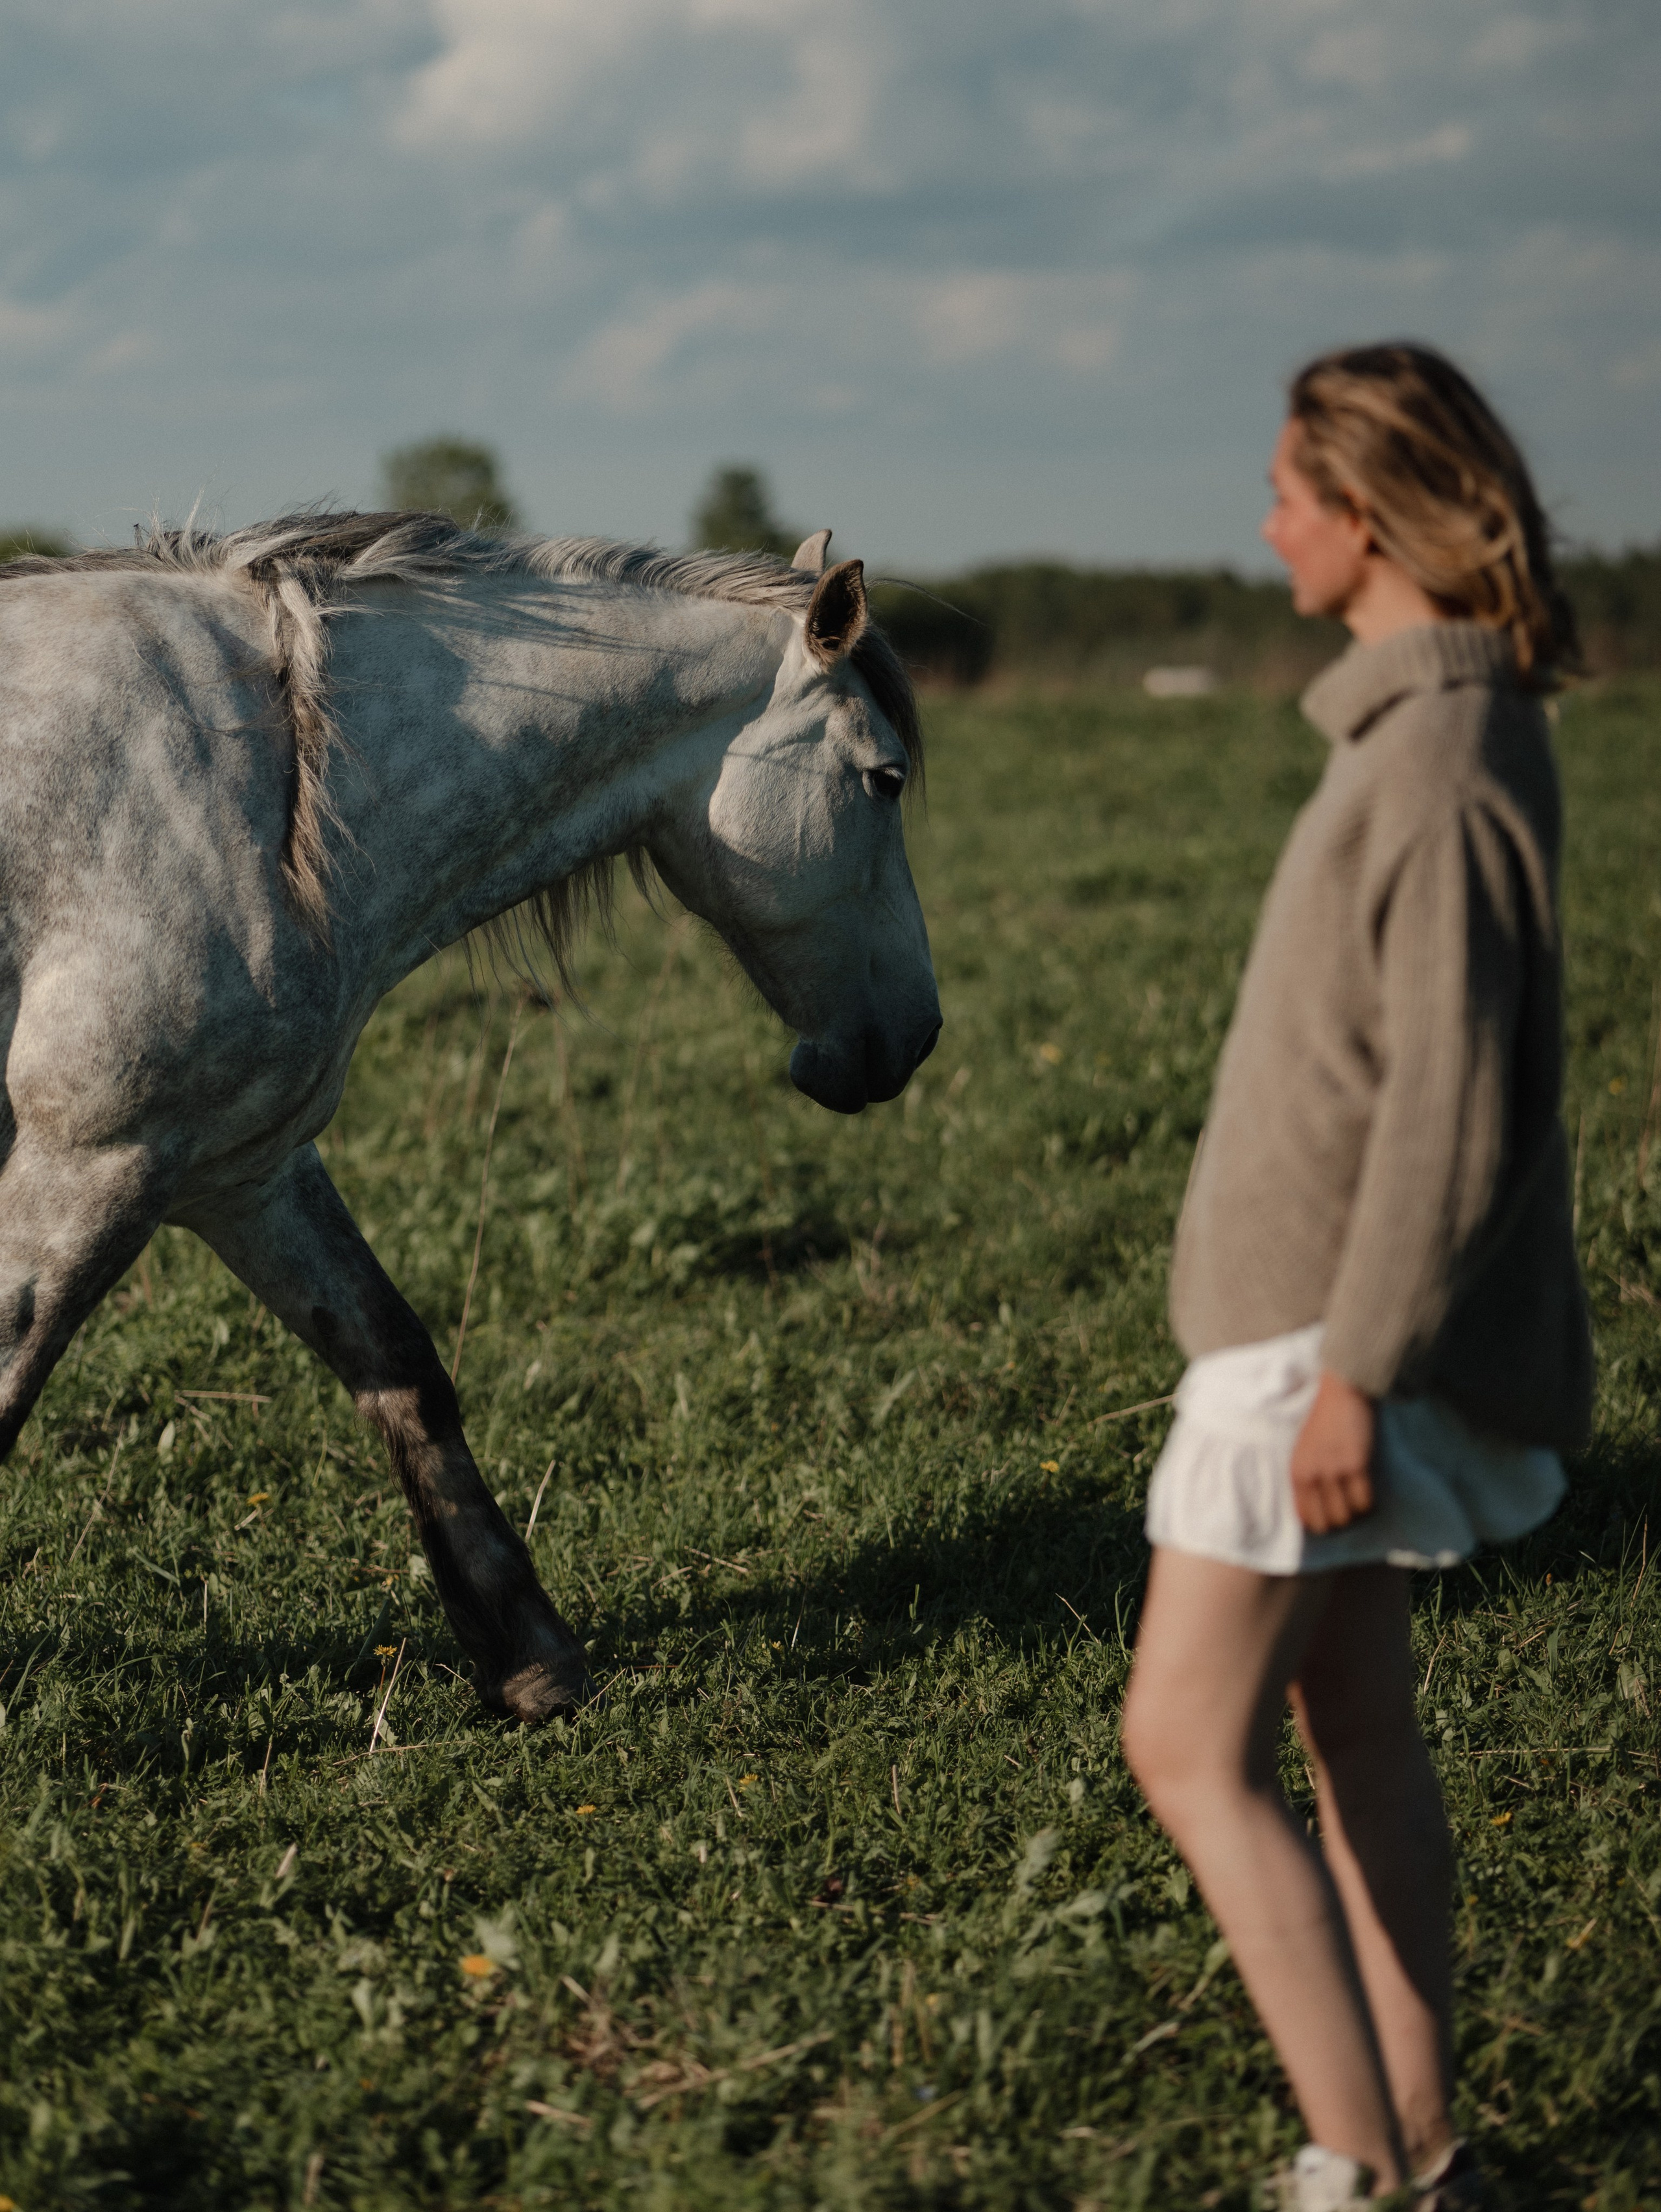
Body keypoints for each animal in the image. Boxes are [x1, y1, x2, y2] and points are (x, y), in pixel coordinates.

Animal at [0, 510, 939, 1721]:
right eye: (885, 779)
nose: (912, 1035)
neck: (261, 774)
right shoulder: (92, 1161)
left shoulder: (242, 1165)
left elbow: (399, 1365)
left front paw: (531, 1658)